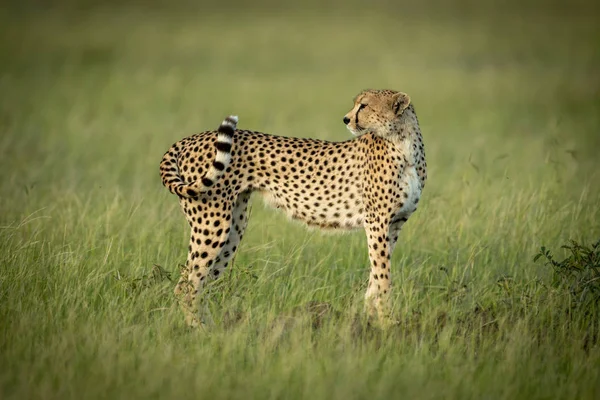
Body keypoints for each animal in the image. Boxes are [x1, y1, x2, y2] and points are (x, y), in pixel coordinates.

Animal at [161, 89, 426, 326]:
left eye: (365, 105)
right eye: (358, 104)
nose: (346, 119)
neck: (403, 143)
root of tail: (190, 138)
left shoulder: (394, 224)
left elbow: (376, 275)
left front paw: (372, 320)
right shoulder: (377, 221)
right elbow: (383, 275)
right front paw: (386, 323)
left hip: (233, 227)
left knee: (200, 282)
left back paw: (212, 331)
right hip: (212, 223)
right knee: (186, 286)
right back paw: (200, 332)